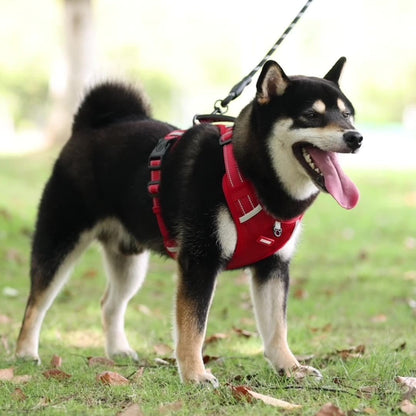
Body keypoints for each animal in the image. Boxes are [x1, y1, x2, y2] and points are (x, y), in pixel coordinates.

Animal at [15, 57, 360, 386]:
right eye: (311, 115)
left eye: (348, 114)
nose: (356, 137)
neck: (248, 174)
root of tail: (88, 128)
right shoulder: (200, 260)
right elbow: (193, 327)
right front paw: (196, 375)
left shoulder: (274, 266)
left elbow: (277, 328)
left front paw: (290, 368)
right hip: (60, 241)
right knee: (36, 303)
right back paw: (25, 353)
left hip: (129, 262)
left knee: (109, 304)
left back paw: (118, 350)